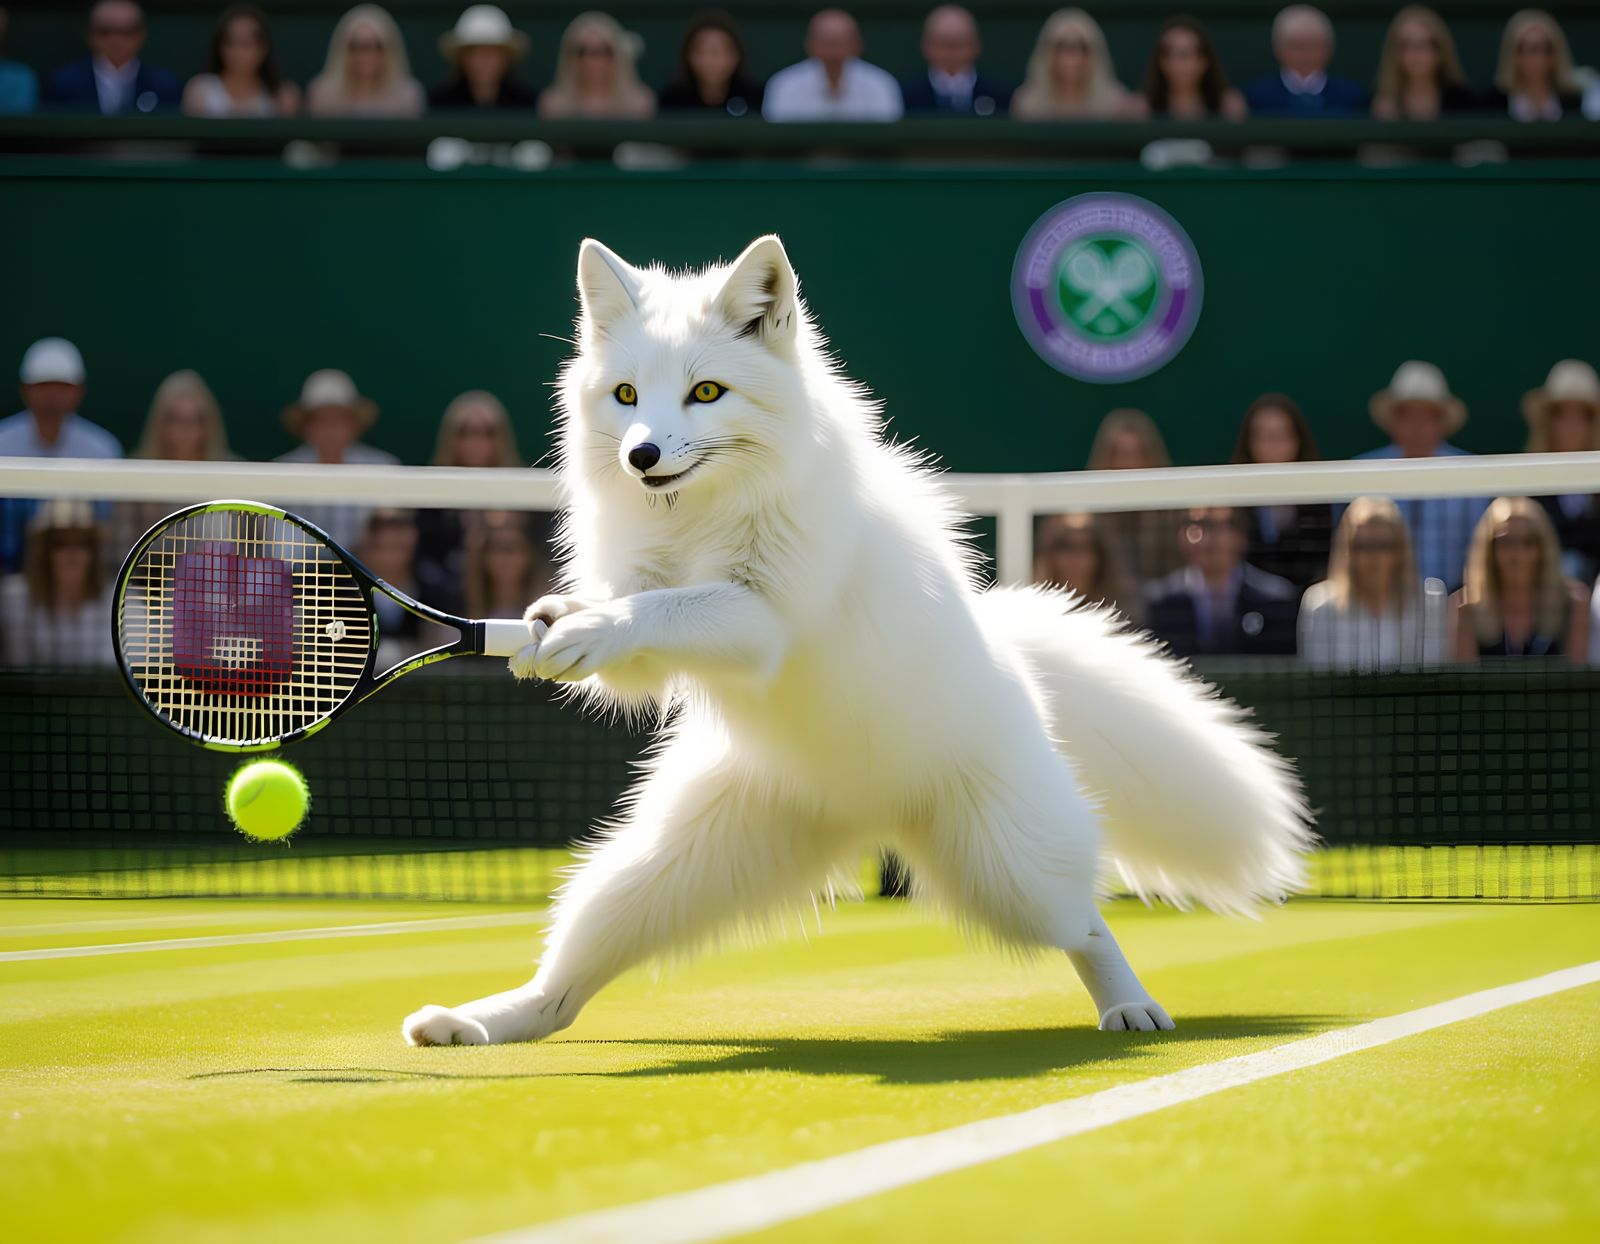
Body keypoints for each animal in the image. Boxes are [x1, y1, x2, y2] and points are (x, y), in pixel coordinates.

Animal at [402, 236, 1312, 1047]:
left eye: (706, 391)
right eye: (625, 394)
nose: (643, 455)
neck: (705, 514)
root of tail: (866, 808)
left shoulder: (761, 617)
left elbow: (667, 607)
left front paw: (587, 626)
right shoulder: (658, 596)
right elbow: (642, 611)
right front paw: (553, 625)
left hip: (1007, 865)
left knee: (1086, 922)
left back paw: (1133, 1009)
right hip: (669, 862)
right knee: (571, 974)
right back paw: (488, 1021)